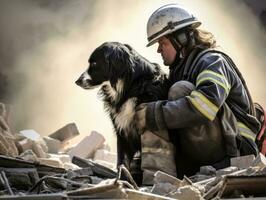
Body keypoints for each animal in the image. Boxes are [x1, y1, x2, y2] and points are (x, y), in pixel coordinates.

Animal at [76, 41, 169, 182]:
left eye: (95, 63)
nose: (77, 81)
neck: (128, 87)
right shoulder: (122, 129)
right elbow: (123, 160)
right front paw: (123, 178)